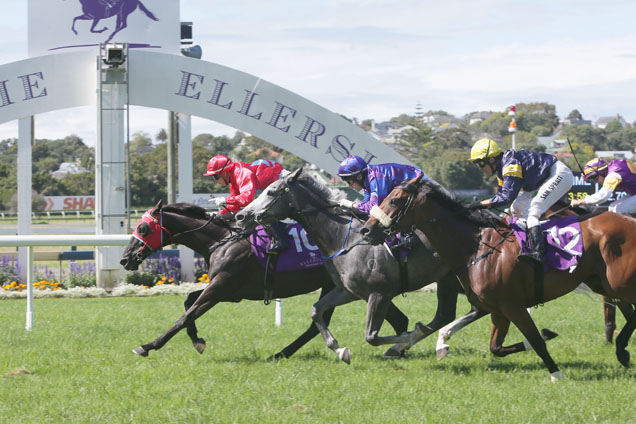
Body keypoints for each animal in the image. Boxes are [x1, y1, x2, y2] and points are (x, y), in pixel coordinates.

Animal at [120, 200, 412, 360]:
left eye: (143, 228)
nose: (125, 258)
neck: (221, 240)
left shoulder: (222, 286)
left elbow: (185, 315)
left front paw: (148, 346)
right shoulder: (224, 289)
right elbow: (188, 305)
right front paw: (197, 340)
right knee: (396, 319)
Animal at [360, 176, 636, 380]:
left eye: (394, 200)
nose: (366, 229)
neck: (476, 247)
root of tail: (629, 221)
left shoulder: (513, 306)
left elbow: (535, 340)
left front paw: (556, 374)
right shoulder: (497, 309)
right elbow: (497, 348)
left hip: (620, 283)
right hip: (605, 283)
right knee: (630, 314)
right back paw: (622, 350)